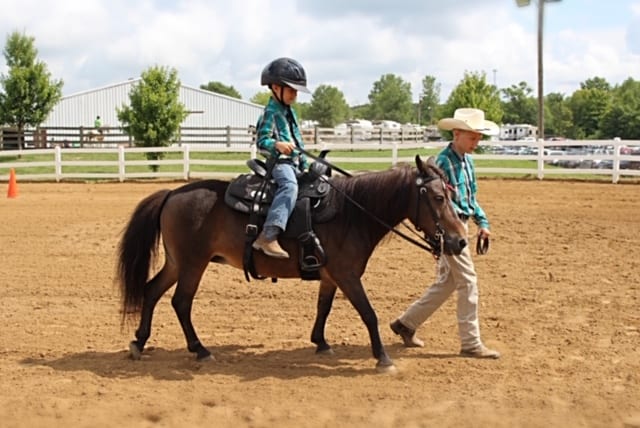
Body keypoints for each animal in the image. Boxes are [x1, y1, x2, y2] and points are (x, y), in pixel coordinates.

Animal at [117, 155, 464, 372]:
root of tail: (172, 193)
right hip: (193, 264)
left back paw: (139, 341)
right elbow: (369, 313)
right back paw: (200, 349)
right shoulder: (347, 275)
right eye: (437, 197)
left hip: (177, 263)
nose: (460, 240)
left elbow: (323, 307)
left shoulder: (330, 275)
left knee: (152, 291)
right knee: (181, 302)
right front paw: (382, 358)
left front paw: (321, 343)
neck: (352, 213)